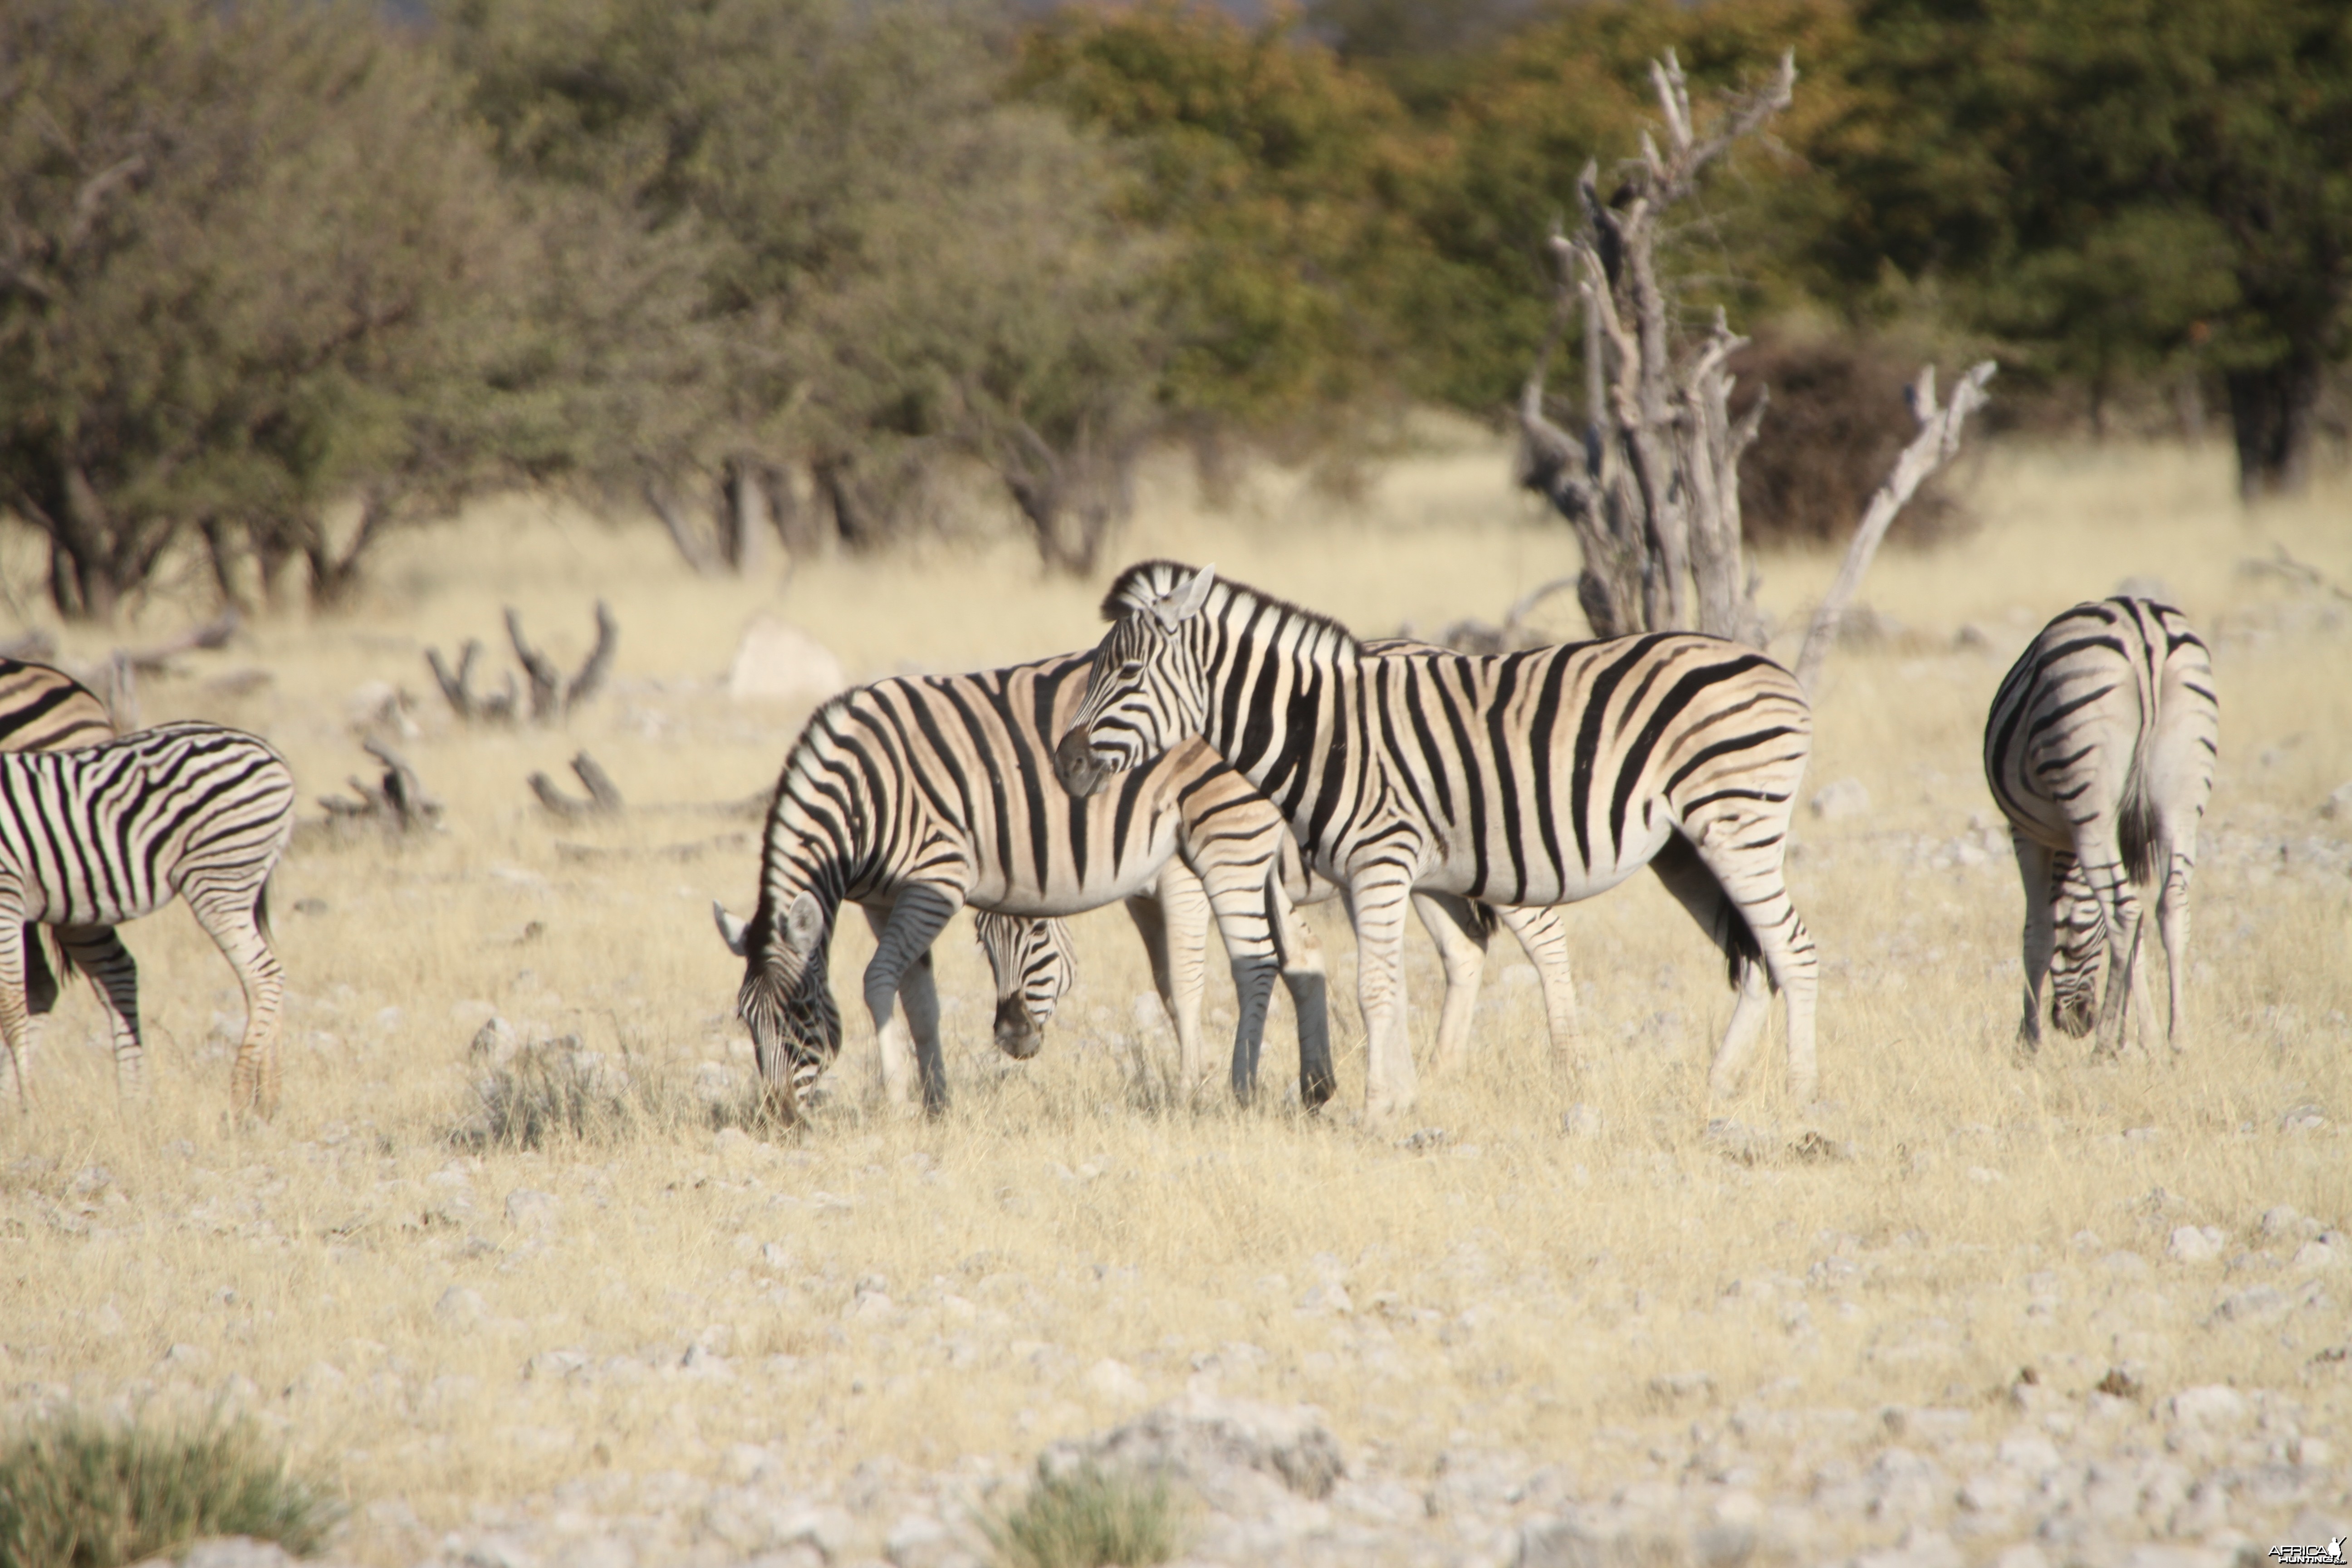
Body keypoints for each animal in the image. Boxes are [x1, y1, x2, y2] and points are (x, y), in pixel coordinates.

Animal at [0, 719, 296, 1114]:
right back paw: (265, 1100)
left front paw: (29, 1107)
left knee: (263, 975)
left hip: (219, 876)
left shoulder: (6, 893)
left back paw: (237, 1100)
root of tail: (271, 752)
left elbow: (11, 1007)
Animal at [720, 649, 1345, 1114]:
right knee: (1299, 954)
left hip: (1223, 838)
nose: (778, 1116)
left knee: (1258, 960)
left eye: (802, 1013)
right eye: (745, 1020)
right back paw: (1316, 1087)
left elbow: (878, 982)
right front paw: (937, 1105)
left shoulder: (936, 881)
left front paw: (897, 1100)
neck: (866, 796)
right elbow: (921, 1001)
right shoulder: (885, 901)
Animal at [1058, 557, 1825, 1123]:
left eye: (1127, 673)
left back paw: (1799, 1097)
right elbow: (1388, 986)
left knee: (1793, 950)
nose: (1065, 761)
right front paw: (1400, 1098)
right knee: (1754, 957)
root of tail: (1771, 668)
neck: (1323, 733)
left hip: (1738, 825)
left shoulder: (1379, 861)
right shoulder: (1368, 873)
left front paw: (1375, 1109)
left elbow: (1372, 988)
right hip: (1685, 849)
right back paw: (1718, 1086)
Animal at [1975, 597, 2210, 1053]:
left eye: (2077, 934)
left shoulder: (2025, 835)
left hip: (2088, 795)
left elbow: (2037, 934)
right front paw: (2145, 1036)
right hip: (2182, 799)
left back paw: (2102, 1048)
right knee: (2170, 906)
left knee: (2124, 909)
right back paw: (2177, 1041)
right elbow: (2138, 941)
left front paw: (2028, 1042)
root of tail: (2143, 627)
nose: (2074, 1023)